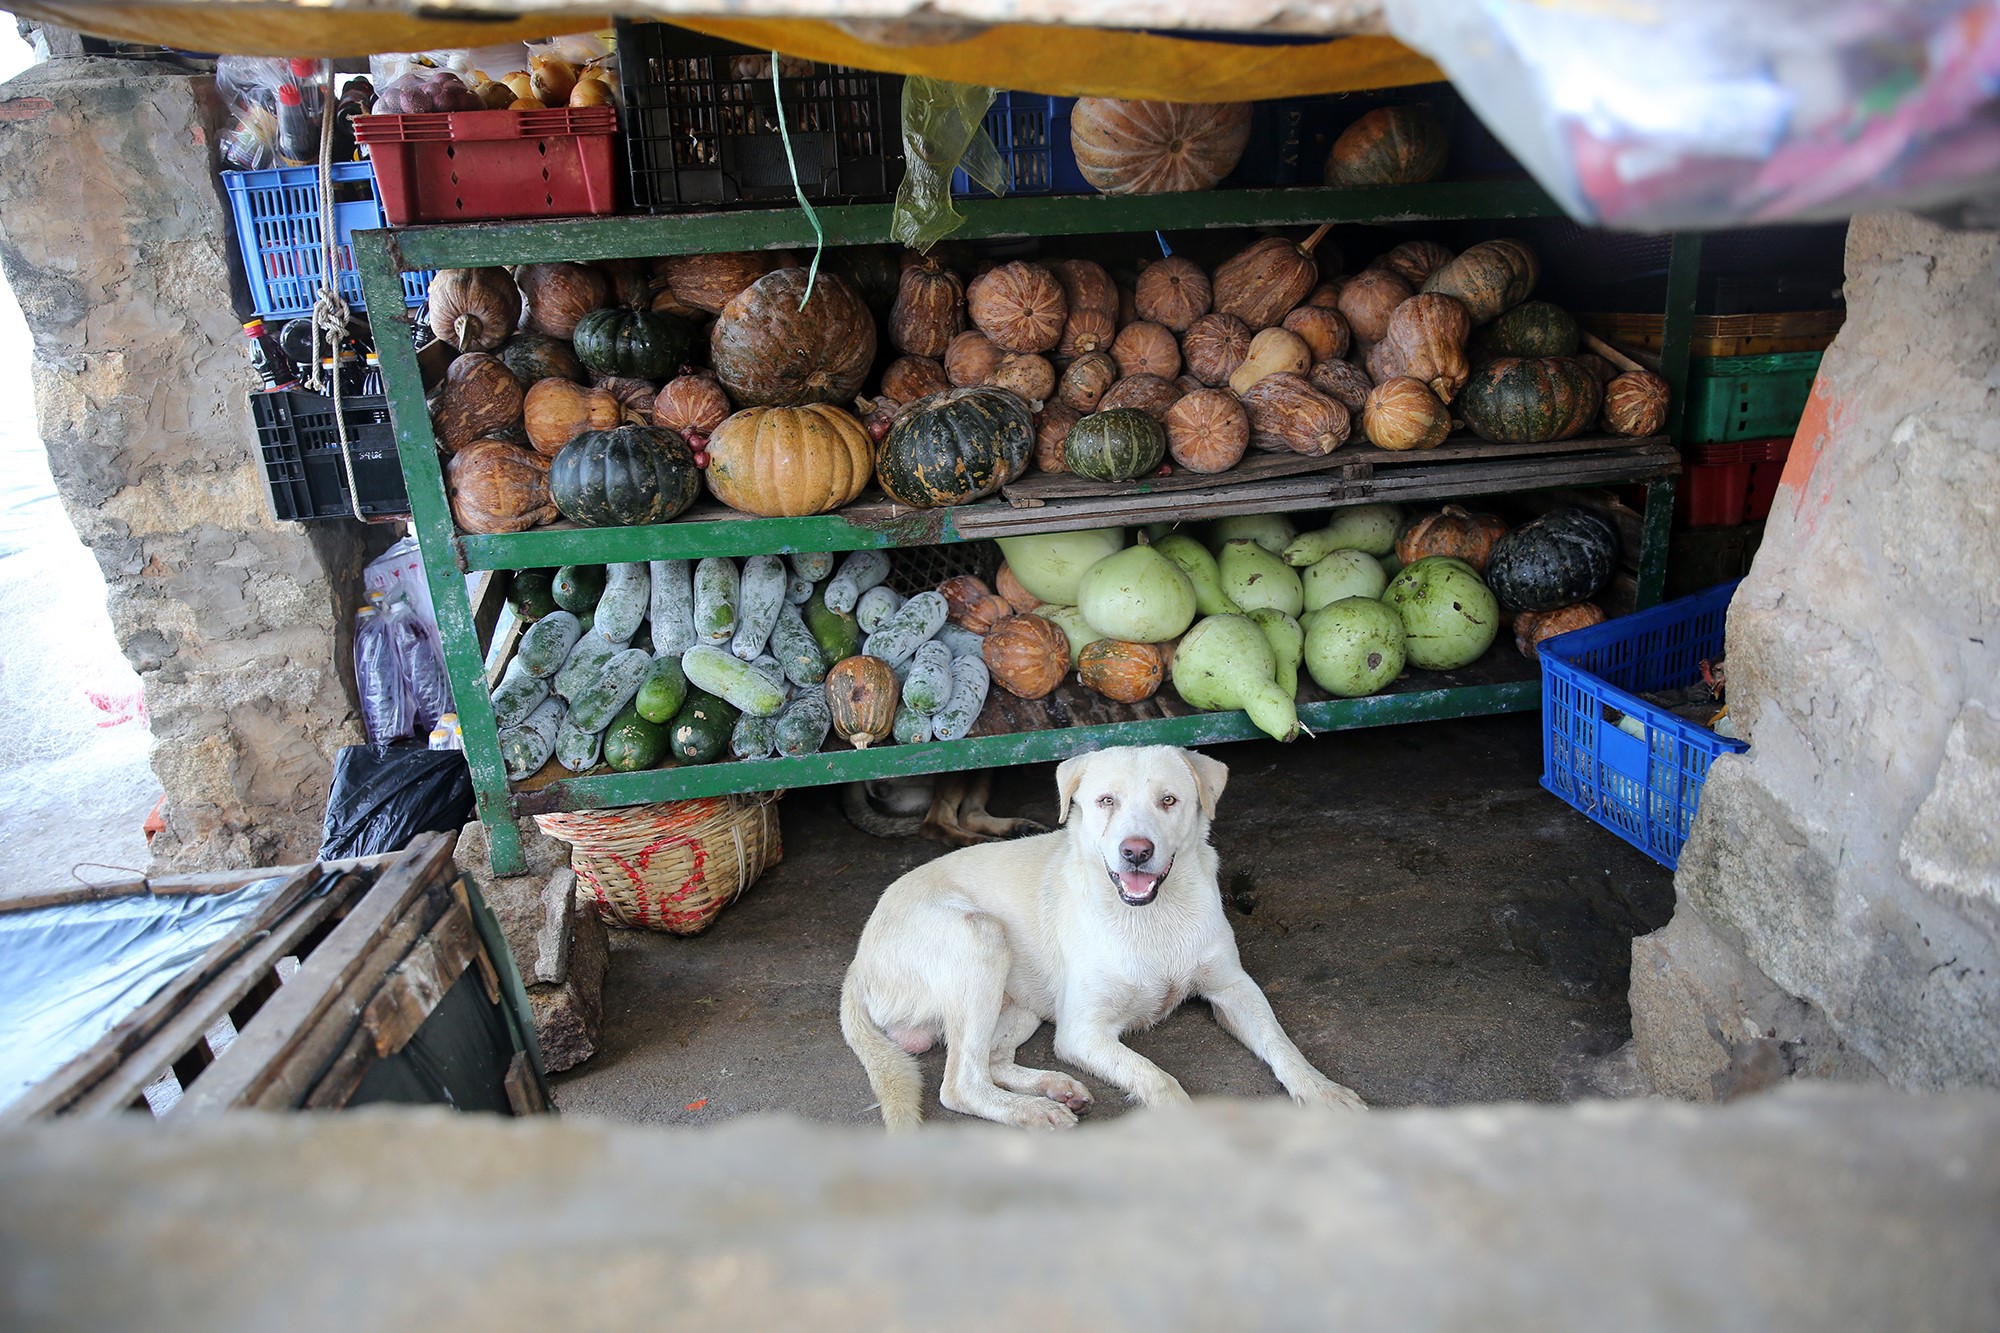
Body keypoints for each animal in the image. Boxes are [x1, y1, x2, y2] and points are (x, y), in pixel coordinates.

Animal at [836, 740, 1368, 1128]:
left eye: (1169, 800)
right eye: (1105, 801)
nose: (1136, 851)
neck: (1152, 917)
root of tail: (857, 964)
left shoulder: (1234, 989)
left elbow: (1282, 1044)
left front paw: (1323, 1090)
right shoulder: (1082, 1031)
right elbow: (1155, 1076)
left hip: (1021, 1003)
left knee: (991, 1061)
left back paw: (1055, 1088)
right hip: (980, 938)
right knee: (960, 1084)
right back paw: (1036, 1110)